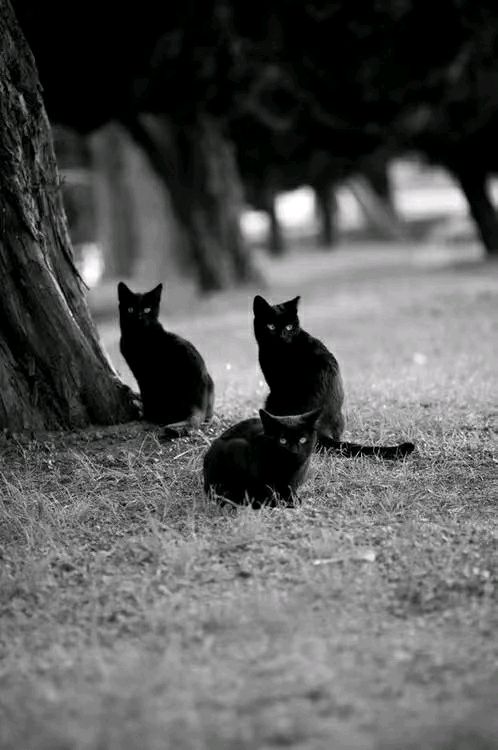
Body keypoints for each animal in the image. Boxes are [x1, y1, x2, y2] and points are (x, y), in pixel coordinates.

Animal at [118, 282, 214, 438]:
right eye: (130, 309)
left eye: (147, 309)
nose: (139, 317)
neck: (137, 336)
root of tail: (197, 403)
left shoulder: (143, 375)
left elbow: (145, 394)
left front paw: (146, 414)